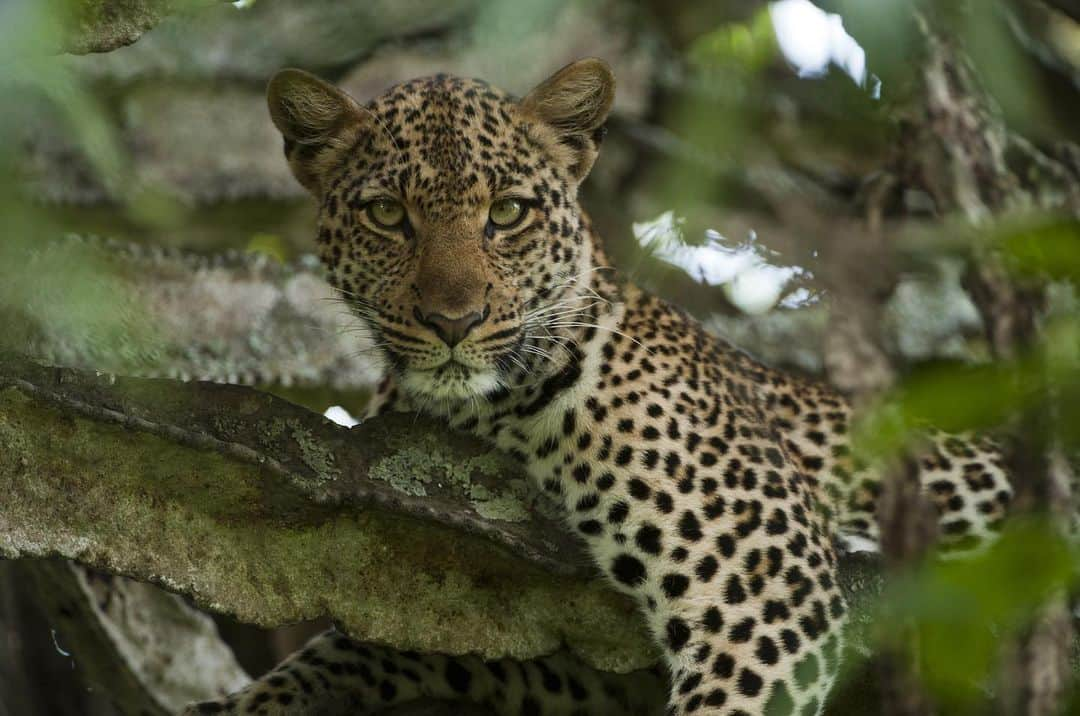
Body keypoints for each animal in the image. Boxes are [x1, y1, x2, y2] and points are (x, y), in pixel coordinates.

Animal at [183, 61, 1010, 716]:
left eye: (507, 212)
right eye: (388, 214)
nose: (454, 321)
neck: (484, 414)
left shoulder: (767, 591)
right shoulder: (573, 670)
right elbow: (349, 650)